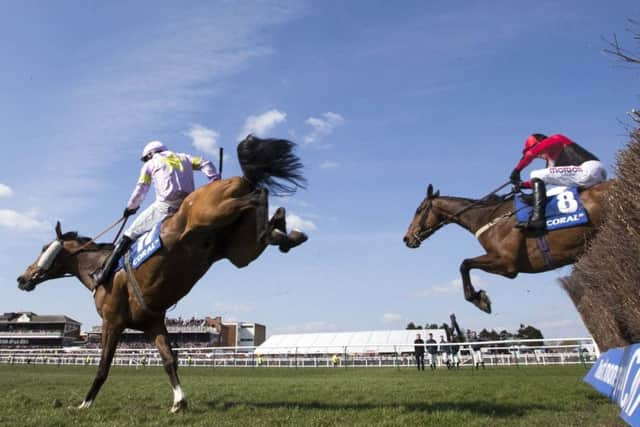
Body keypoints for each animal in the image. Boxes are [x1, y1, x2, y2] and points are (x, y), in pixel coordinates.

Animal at [18, 135, 308, 414]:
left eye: (44, 248)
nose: (23, 278)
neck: (101, 269)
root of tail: (240, 179)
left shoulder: (112, 322)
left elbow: (103, 367)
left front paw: (84, 403)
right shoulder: (153, 323)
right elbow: (169, 360)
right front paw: (179, 401)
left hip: (213, 214)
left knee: (259, 194)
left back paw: (279, 225)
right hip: (240, 251)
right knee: (261, 221)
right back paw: (283, 231)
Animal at [404, 181, 608, 314]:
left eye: (419, 210)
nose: (406, 239)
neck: (485, 217)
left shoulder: (507, 264)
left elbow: (464, 264)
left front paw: (479, 299)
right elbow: (466, 264)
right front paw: (479, 297)